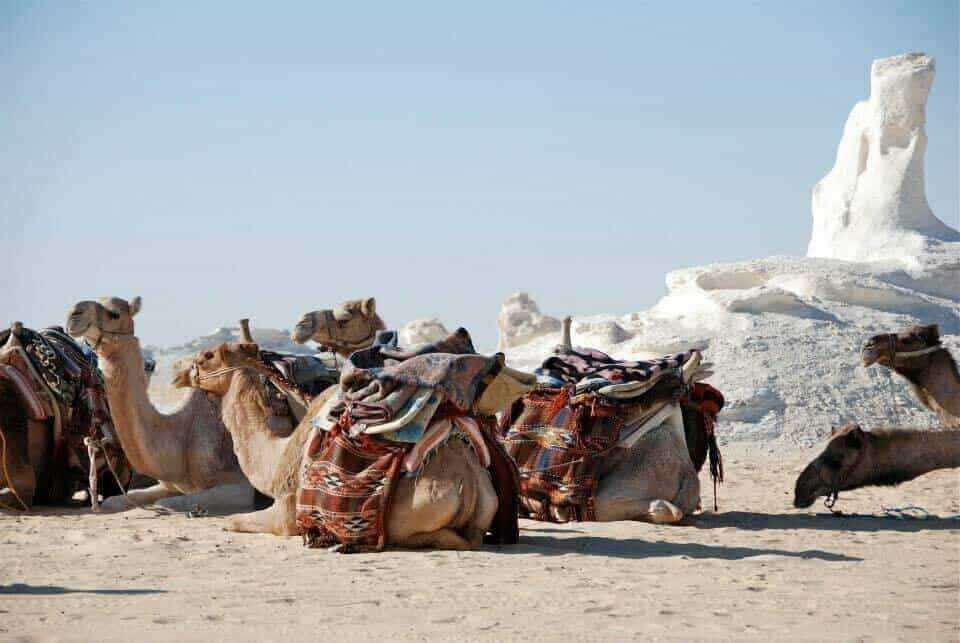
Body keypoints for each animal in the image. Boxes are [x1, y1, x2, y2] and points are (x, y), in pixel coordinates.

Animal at [65, 297, 254, 513]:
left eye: (114, 314)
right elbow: (115, 500)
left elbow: (168, 504)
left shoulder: (242, 485)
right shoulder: (170, 485)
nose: (73, 314)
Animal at [173, 341, 500, 550]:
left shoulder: (287, 513)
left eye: (207, 355)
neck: (277, 458)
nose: (176, 371)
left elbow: (233, 521)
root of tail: (470, 484)